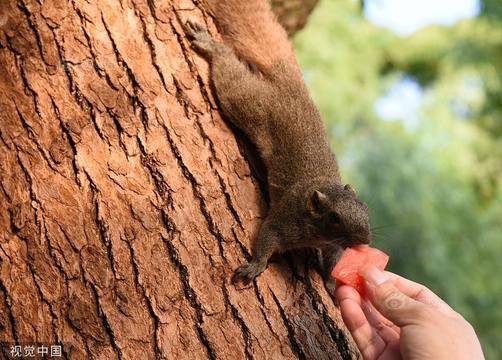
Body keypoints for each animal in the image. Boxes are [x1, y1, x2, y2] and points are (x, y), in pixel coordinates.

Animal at [184, 0, 368, 292]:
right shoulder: (283, 221)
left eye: (365, 208)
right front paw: (255, 266)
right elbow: (266, 239)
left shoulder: (332, 246)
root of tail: (293, 88)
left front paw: (330, 282)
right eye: (334, 218)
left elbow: (333, 262)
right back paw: (209, 45)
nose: (364, 241)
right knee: (229, 73)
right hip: (247, 101)